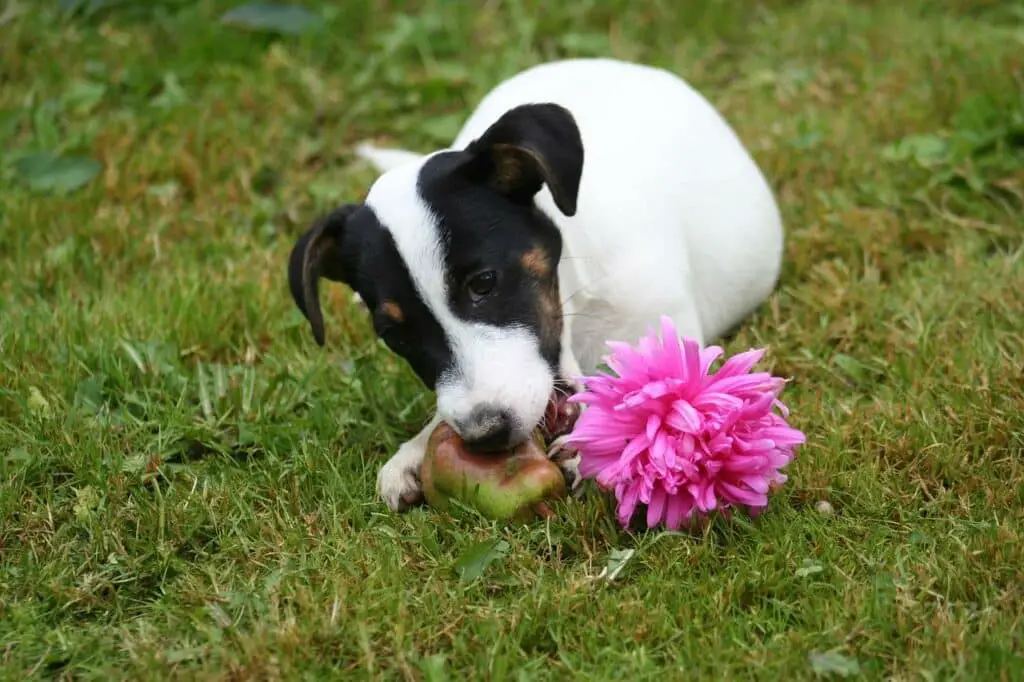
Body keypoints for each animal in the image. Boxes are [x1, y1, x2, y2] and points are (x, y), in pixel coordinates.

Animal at [288, 58, 782, 512]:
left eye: (484, 283)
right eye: (395, 334)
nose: (486, 435)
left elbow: (648, 401)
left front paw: (594, 447)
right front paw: (416, 448)